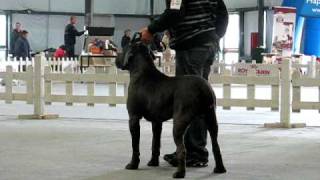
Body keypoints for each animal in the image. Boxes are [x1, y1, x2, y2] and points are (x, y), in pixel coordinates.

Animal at [115, 34, 225, 179]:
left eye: (124, 49)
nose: (115, 57)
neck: (142, 71)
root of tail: (203, 87)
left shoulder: (133, 118)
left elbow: (135, 145)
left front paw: (133, 165)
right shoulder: (156, 122)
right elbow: (155, 143)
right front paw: (153, 162)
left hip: (179, 121)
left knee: (182, 149)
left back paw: (180, 173)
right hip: (211, 119)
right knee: (216, 145)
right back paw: (220, 169)